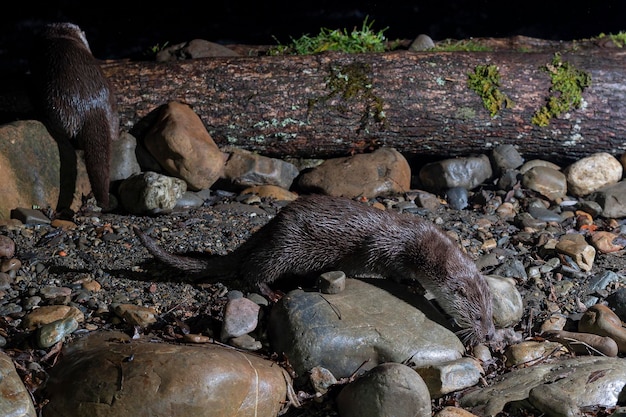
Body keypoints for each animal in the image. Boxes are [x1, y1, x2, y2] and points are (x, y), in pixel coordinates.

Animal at [134, 195, 494, 344]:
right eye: (478, 317)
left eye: (492, 317)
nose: (490, 335)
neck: (419, 243)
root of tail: (273, 223)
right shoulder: (388, 247)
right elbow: (390, 268)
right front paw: (413, 285)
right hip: (286, 247)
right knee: (254, 270)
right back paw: (271, 292)